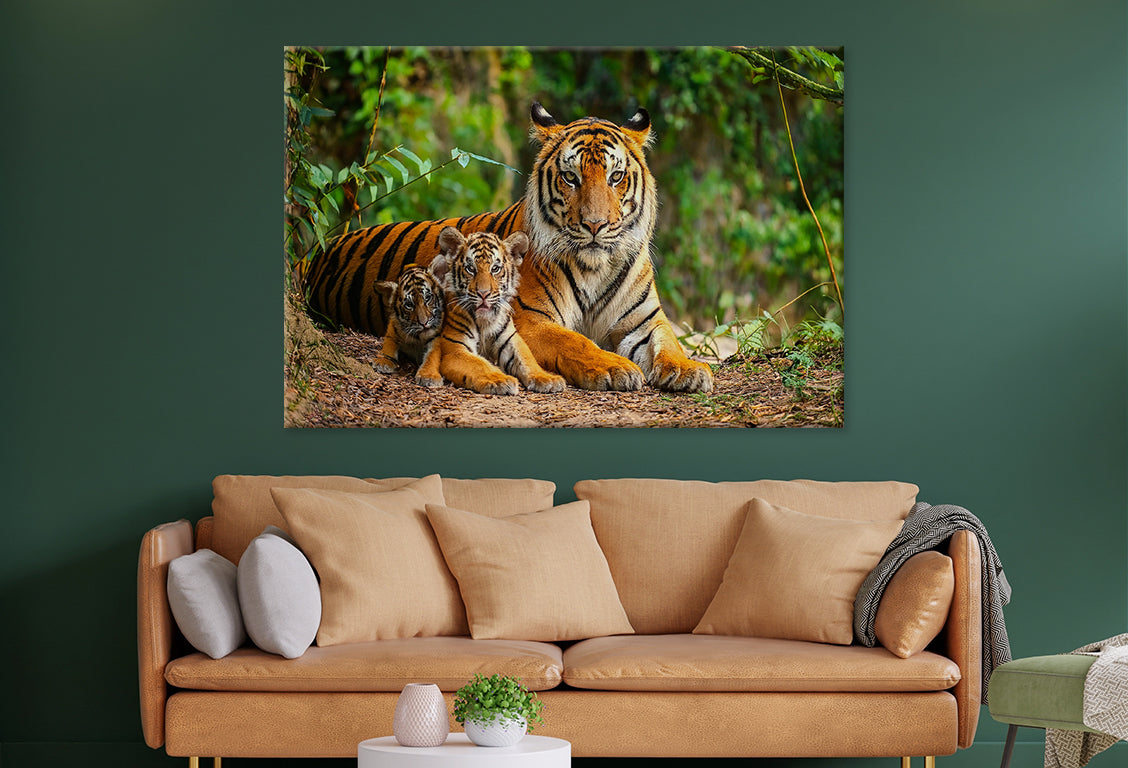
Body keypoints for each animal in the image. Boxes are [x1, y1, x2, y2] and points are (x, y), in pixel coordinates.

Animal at [430, 226, 565, 396]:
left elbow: (527, 359)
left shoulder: (510, 339)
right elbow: (480, 364)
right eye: (470, 269)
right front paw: (500, 380)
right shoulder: (455, 350)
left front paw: (548, 379)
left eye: (495, 268)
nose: (483, 294)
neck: (484, 322)